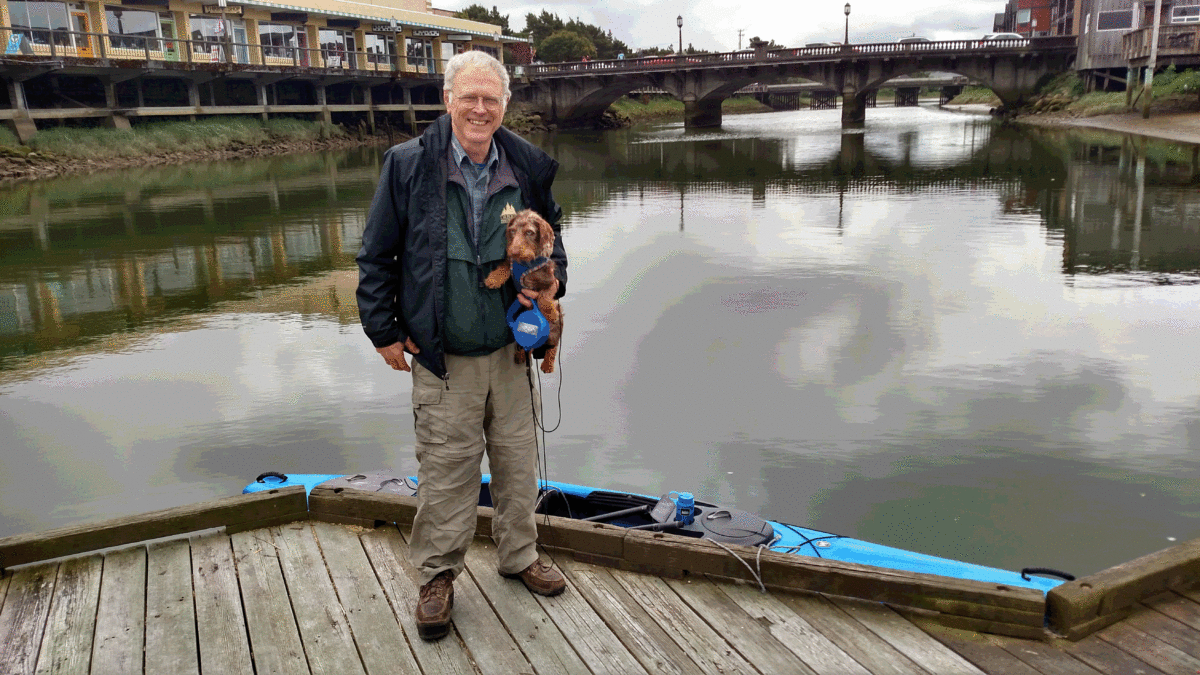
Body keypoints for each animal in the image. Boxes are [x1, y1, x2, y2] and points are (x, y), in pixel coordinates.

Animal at [484, 207, 564, 372]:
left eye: (529, 232)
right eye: (513, 231)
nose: (513, 251)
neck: (526, 263)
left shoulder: (550, 281)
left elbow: (544, 296)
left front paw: (550, 312)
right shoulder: (512, 263)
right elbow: (505, 265)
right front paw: (494, 278)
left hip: (556, 329)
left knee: (552, 346)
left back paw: (547, 364)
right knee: (525, 346)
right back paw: (521, 354)